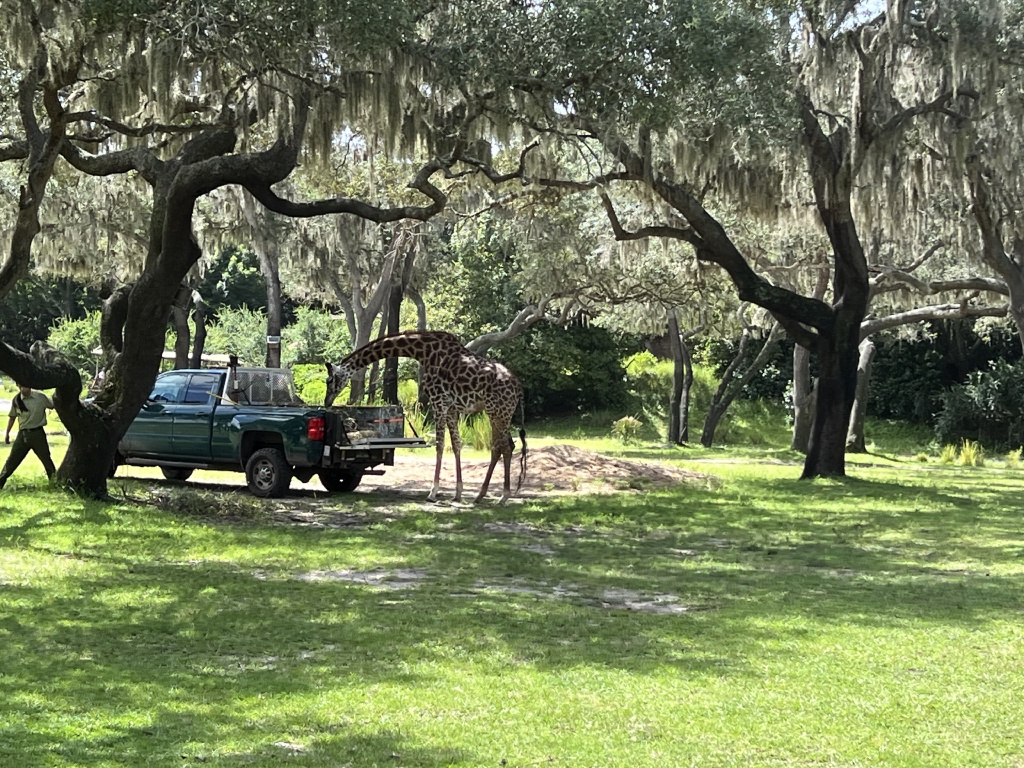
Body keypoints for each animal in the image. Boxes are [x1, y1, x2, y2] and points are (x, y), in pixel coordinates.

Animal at [325, 330, 526, 504]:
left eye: (330, 380)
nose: (327, 402)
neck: (422, 351)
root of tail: (518, 388)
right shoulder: (450, 407)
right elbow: (456, 444)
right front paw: (457, 493)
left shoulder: (438, 402)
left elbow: (440, 445)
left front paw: (433, 492)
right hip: (499, 413)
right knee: (503, 446)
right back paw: (481, 495)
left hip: (497, 412)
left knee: (504, 447)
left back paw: (503, 496)